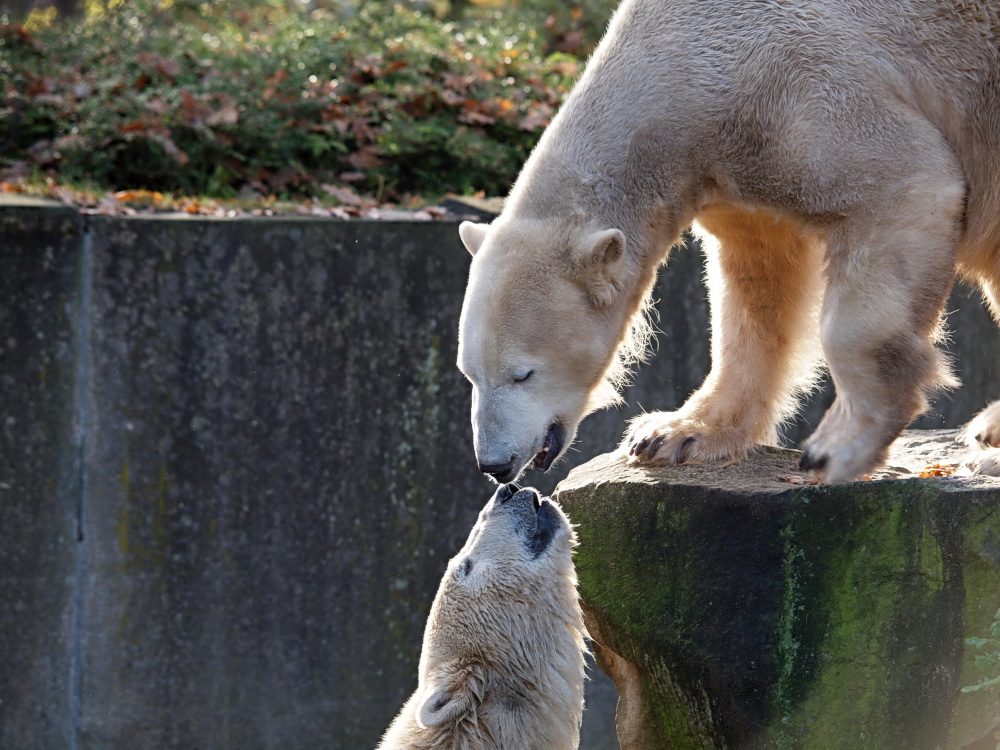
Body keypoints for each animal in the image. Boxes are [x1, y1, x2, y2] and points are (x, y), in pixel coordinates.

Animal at [458, 0, 1000, 484]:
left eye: (523, 373)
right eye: (470, 374)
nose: (494, 464)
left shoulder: (806, 91)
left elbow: (906, 184)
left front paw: (837, 448)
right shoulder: (733, 166)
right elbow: (759, 287)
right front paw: (673, 434)